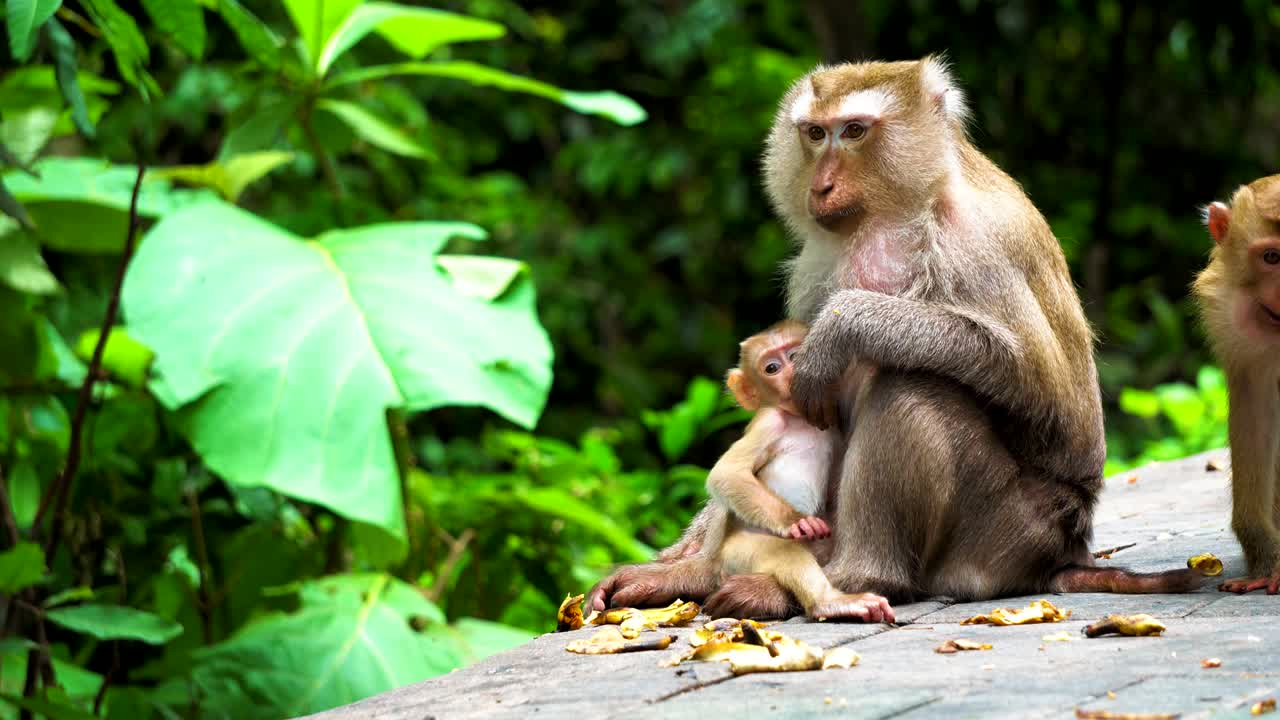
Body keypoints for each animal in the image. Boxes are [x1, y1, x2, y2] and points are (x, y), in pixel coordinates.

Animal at [590, 57, 1206, 617]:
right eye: (814, 133)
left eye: (854, 131)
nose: (822, 185)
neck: (893, 212)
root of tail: (1063, 551)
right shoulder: (815, 264)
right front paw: (677, 562)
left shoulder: (978, 240)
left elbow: (1041, 388)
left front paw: (842, 327)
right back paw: (704, 574)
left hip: (1006, 534)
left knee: (912, 385)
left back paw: (851, 582)